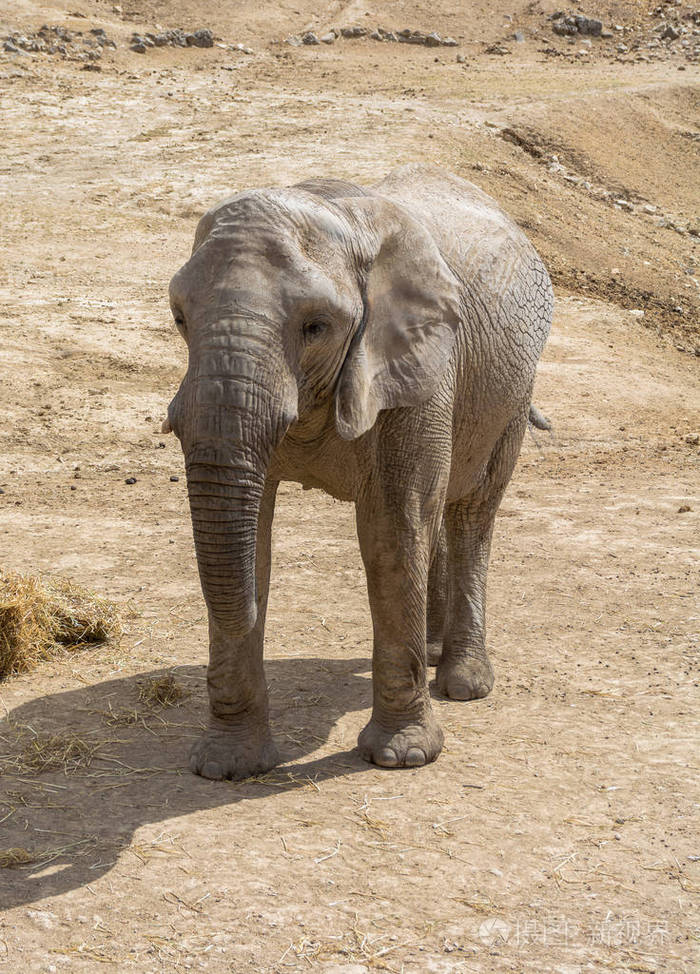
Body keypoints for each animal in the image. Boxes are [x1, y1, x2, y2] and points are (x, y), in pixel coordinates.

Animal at [163, 164, 553, 780]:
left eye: (316, 326)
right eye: (180, 318)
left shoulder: (418, 363)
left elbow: (392, 526)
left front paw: (402, 757)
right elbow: (257, 537)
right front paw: (227, 767)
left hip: (512, 392)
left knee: (469, 510)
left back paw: (464, 682)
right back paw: (434, 650)